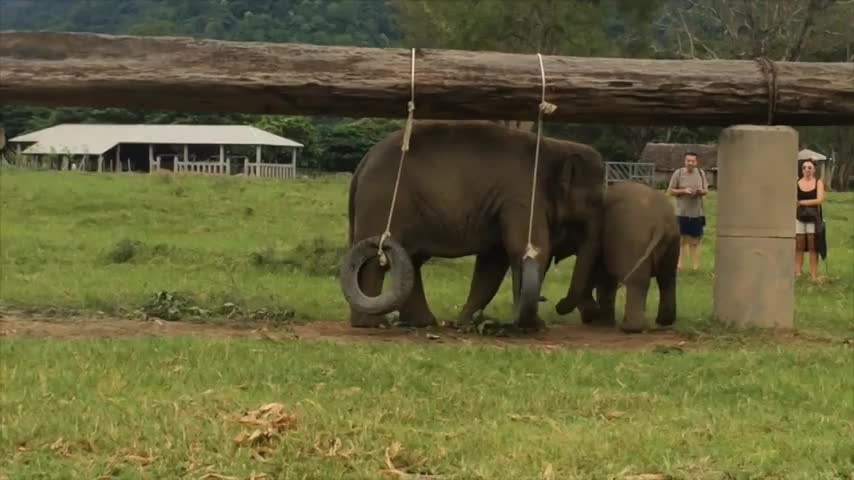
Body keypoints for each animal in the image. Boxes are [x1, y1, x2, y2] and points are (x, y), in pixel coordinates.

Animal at [342, 120, 608, 332]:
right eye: (596, 201)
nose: (559, 304)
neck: (557, 148)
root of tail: (363, 164)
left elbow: (493, 262)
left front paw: (467, 322)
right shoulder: (522, 197)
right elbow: (525, 250)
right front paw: (535, 326)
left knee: (409, 261)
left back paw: (422, 323)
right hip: (384, 203)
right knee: (377, 258)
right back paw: (372, 323)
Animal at [556, 180, 684, 334]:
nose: (558, 304)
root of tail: (660, 223)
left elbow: (602, 277)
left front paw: (600, 323)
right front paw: (600, 321)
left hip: (633, 241)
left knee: (637, 281)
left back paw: (629, 328)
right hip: (672, 243)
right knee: (667, 278)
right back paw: (662, 322)